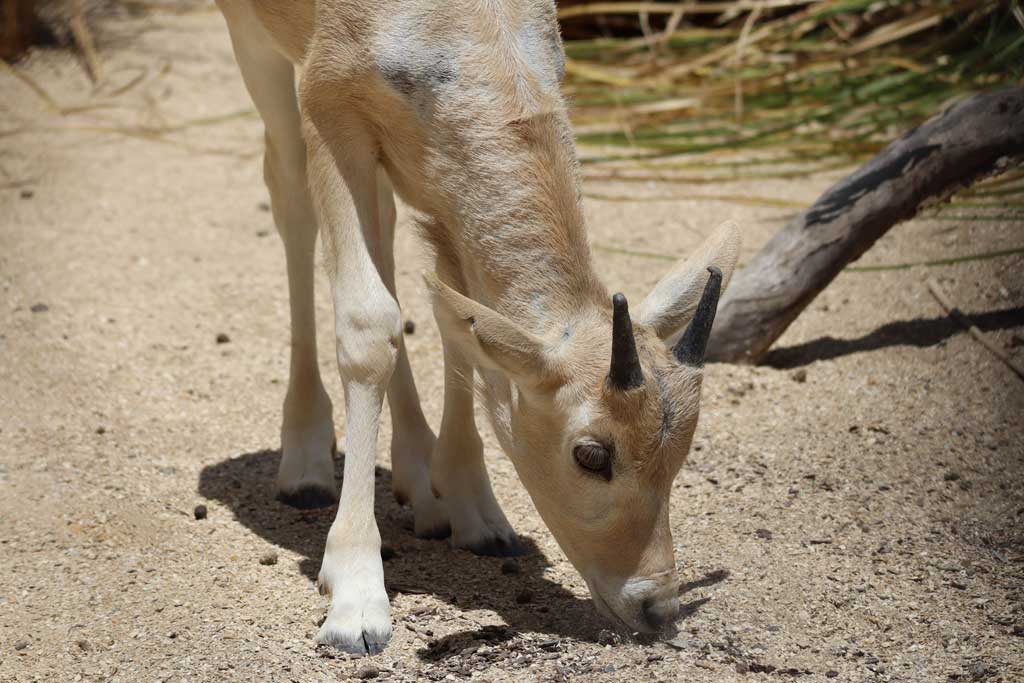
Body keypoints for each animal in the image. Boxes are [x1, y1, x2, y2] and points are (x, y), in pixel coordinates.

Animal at [216, 0, 741, 655]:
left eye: (683, 446)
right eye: (591, 454)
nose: (655, 606)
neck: (459, 27)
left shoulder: (442, 184)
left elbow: (453, 316)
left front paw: (478, 514)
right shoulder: (329, 106)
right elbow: (367, 324)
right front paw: (357, 602)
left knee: (385, 231)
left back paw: (421, 482)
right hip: (255, 48)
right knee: (289, 193)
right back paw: (306, 465)